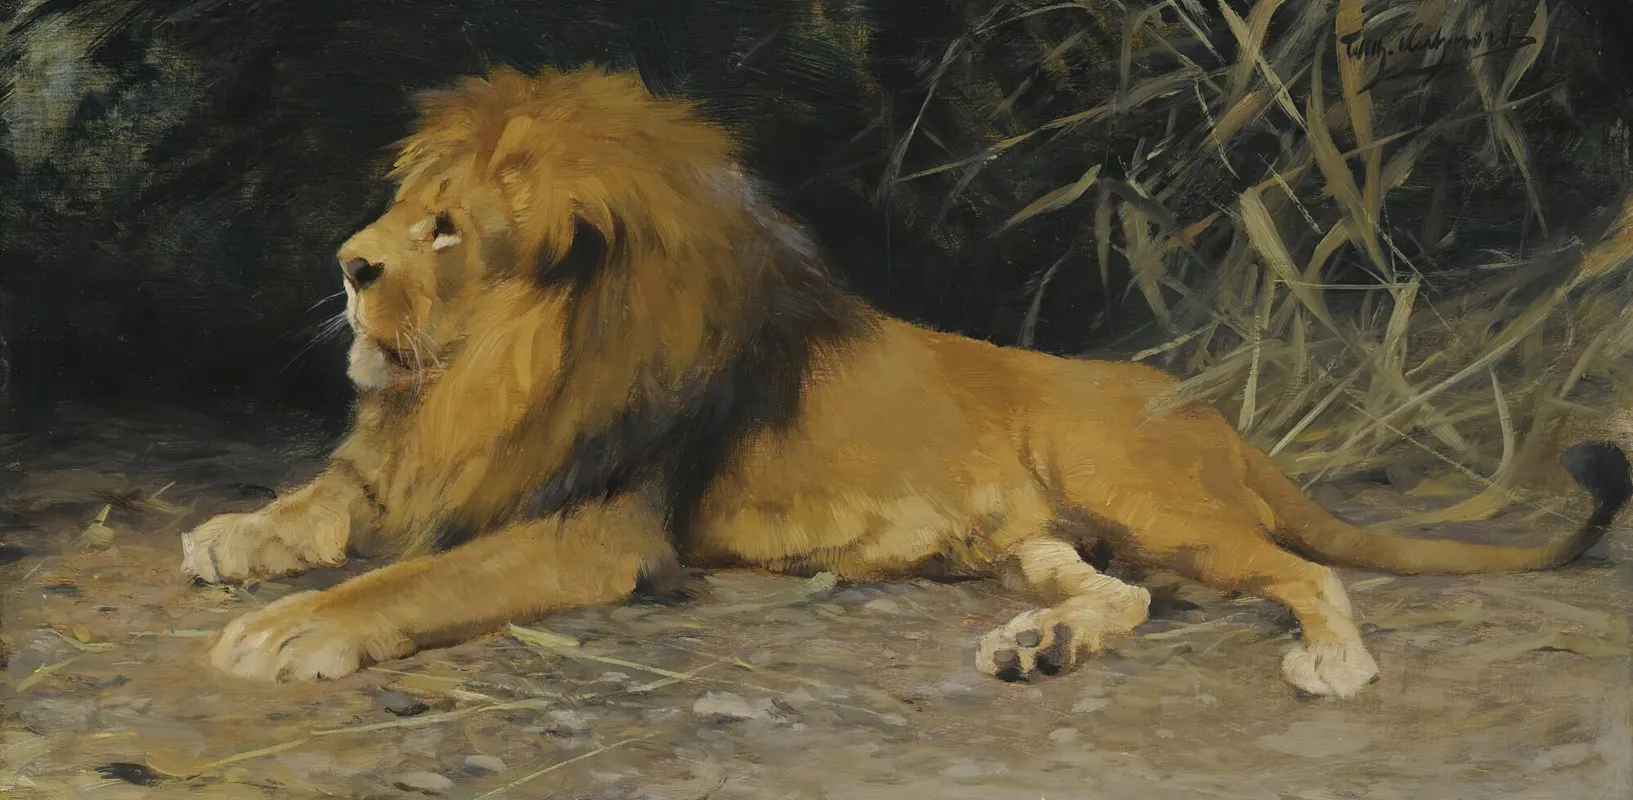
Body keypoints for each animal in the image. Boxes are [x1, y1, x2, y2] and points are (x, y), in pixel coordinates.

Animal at [180, 66, 1632, 699]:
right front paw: (233, 537)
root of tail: (1213, 413)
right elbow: (328, 496)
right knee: (1122, 594)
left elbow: (420, 575)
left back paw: (1331, 660)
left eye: (443, 230)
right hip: (1030, 536)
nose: (346, 263)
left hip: (1144, 494)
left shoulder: (600, 523)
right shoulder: (423, 453)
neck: (496, 371)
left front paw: (292, 628)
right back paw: (1040, 643)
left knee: (1301, 570)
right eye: (403, 209)